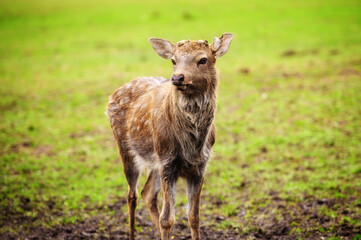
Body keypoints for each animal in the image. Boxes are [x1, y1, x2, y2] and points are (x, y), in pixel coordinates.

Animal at [105, 32, 232, 239]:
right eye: (173, 60)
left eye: (203, 59)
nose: (178, 77)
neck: (192, 145)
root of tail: (114, 93)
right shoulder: (167, 163)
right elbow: (167, 219)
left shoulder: (200, 166)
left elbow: (194, 217)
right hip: (127, 148)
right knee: (131, 195)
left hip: (157, 160)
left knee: (147, 193)